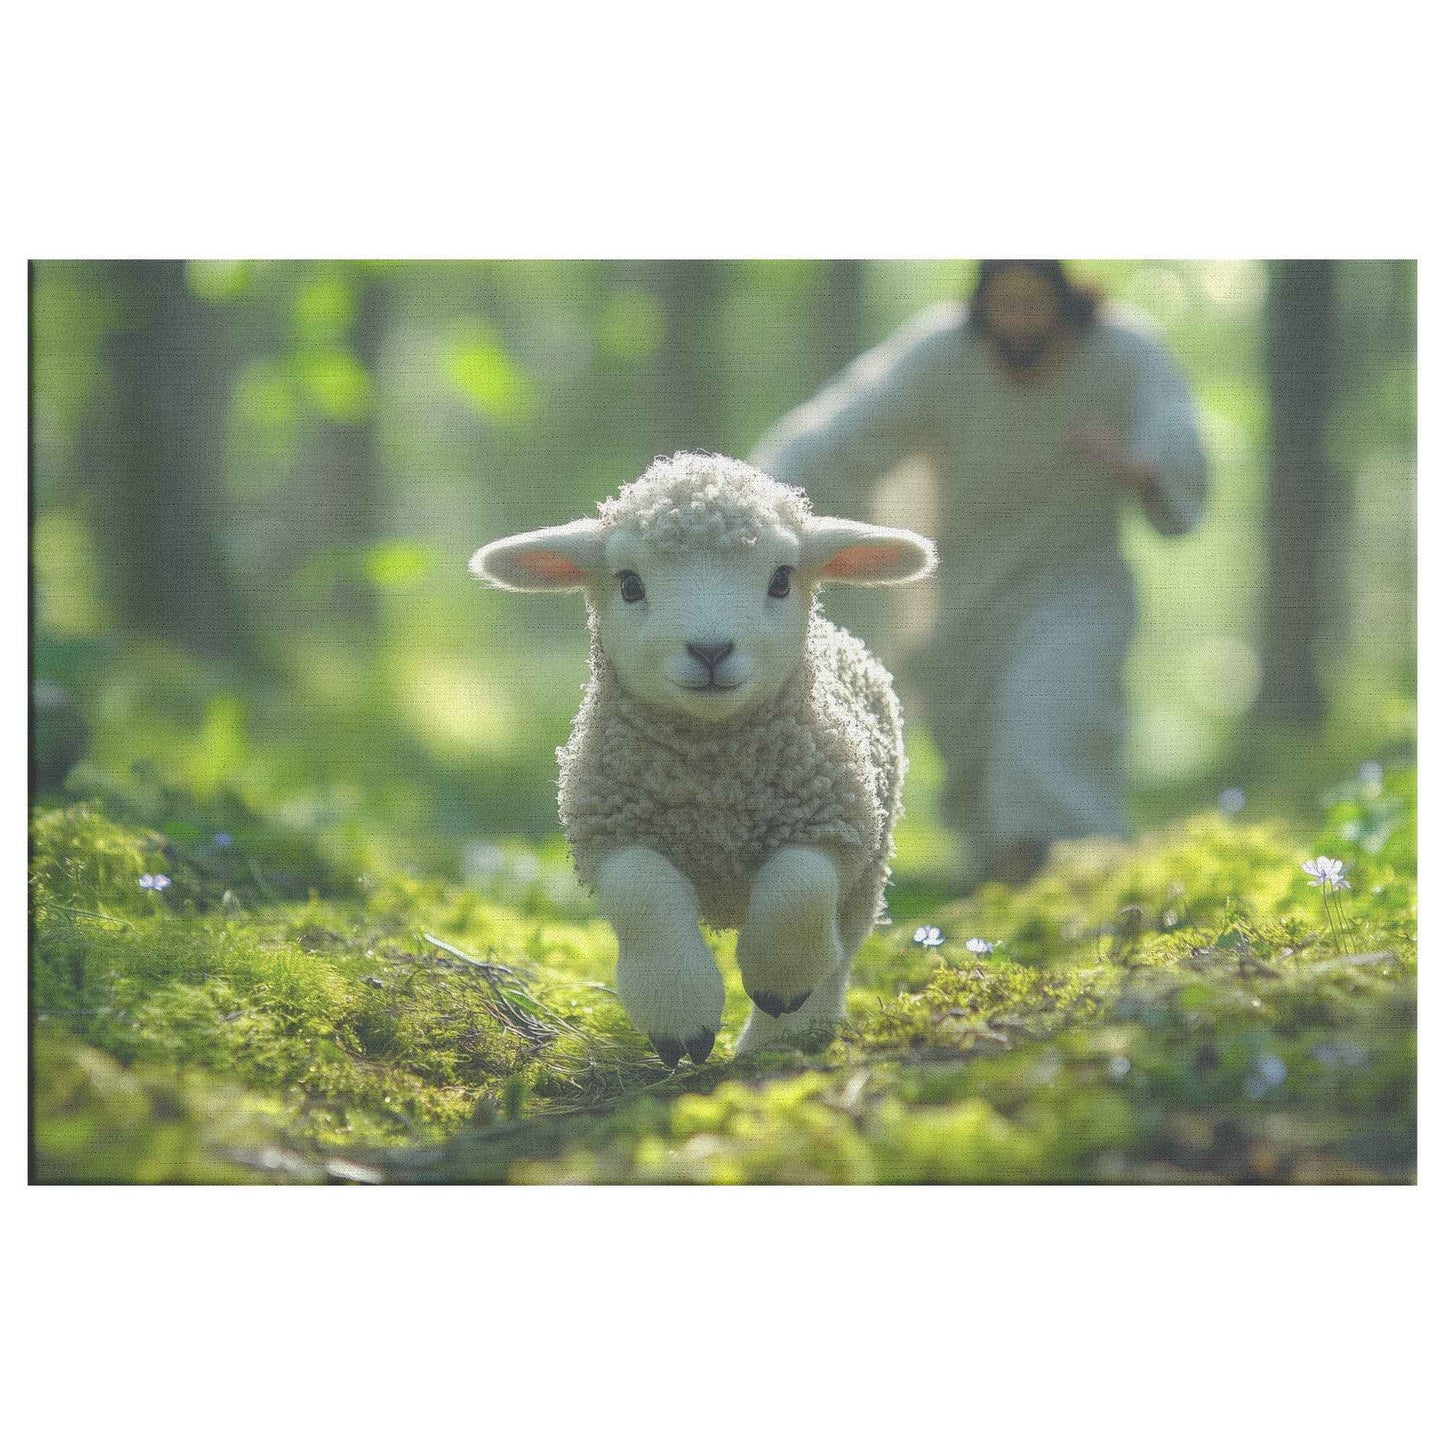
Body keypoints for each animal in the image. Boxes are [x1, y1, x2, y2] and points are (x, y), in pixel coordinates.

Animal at [470, 452, 936, 1065]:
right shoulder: (613, 832)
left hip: (872, 862)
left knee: (841, 948)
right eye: (629, 583)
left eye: (781, 579)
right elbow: (644, 895)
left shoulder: (834, 819)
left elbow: (799, 885)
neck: (714, 785)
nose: (710, 649)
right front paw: (679, 1017)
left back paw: (785, 1039)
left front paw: (778, 982)